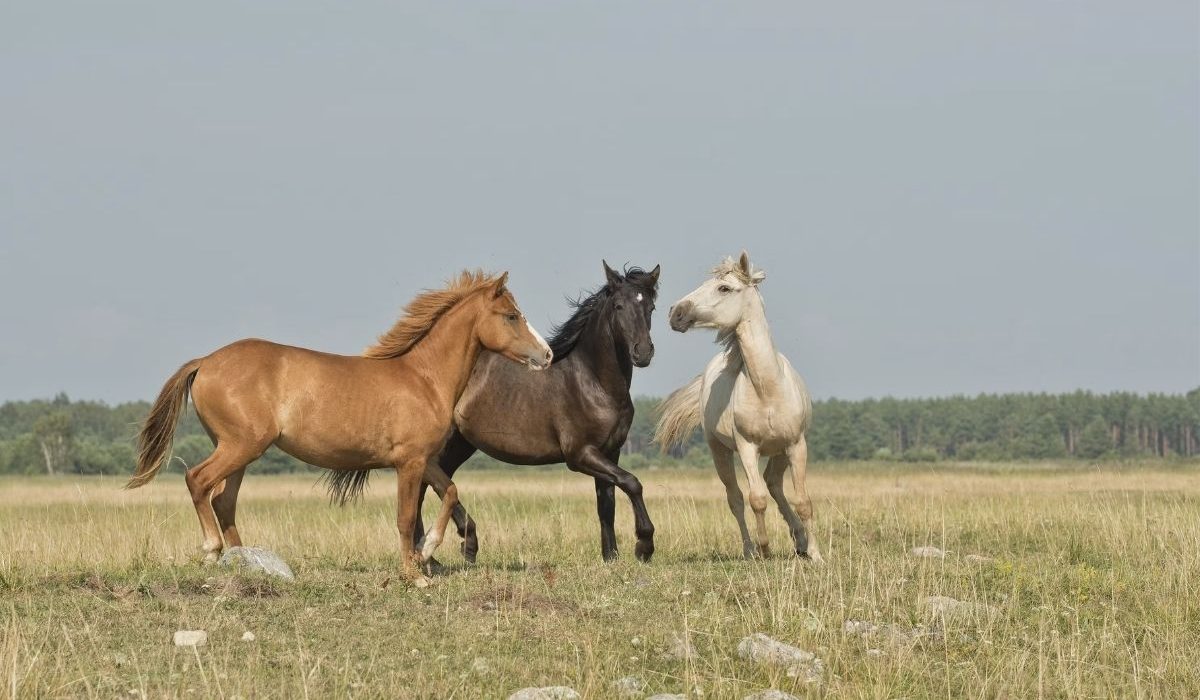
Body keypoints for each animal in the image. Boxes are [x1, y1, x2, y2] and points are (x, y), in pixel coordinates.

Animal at [126, 270, 552, 586]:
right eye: (511, 315)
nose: (546, 355)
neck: (424, 378)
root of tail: (206, 361)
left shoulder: (424, 459)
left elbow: (450, 492)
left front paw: (428, 551)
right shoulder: (409, 463)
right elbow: (405, 517)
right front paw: (414, 574)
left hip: (240, 451)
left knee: (223, 500)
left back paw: (247, 562)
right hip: (239, 446)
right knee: (198, 481)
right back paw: (213, 551)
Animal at [329, 262, 660, 563]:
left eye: (651, 307)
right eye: (618, 306)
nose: (643, 352)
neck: (592, 382)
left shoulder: (609, 451)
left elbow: (607, 503)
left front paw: (611, 557)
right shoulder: (580, 455)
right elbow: (632, 483)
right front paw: (643, 546)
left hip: (458, 445)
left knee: (429, 486)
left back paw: (438, 553)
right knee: (426, 488)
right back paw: (451, 549)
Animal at [655, 252, 822, 562]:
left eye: (724, 288)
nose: (675, 312)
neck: (768, 389)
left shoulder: (796, 445)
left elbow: (803, 501)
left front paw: (816, 554)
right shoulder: (747, 447)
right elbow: (756, 499)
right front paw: (765, 549)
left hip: (780, 451)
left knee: (774, 484)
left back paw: (800, 541)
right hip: (719, 451)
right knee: (737, 498)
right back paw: (750, 550)